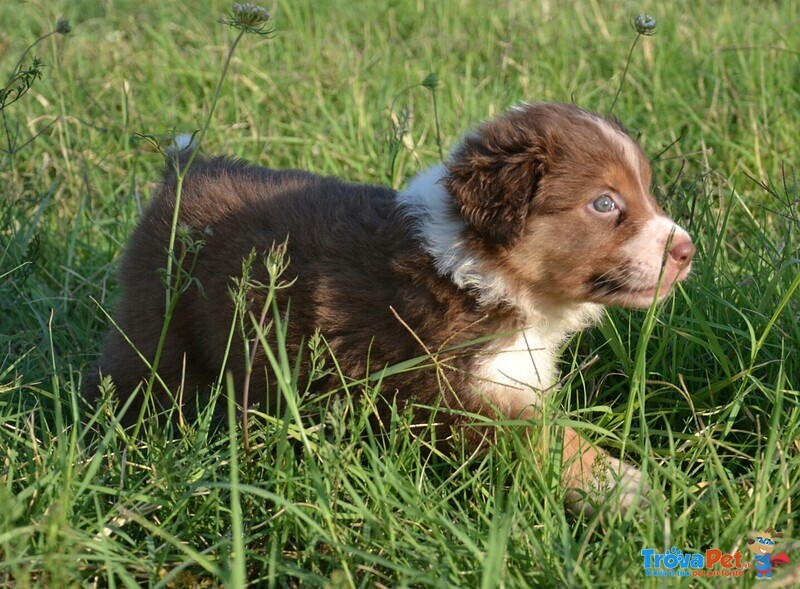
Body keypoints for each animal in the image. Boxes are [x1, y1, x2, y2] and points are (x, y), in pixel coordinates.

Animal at [90, 102, 696, 516]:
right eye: (604, 203)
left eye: (646, 192)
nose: (687, 250)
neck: (477, 270)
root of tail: (184, 169)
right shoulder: (452, 390)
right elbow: (545, 440)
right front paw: (623, 488)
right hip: (156, 328)